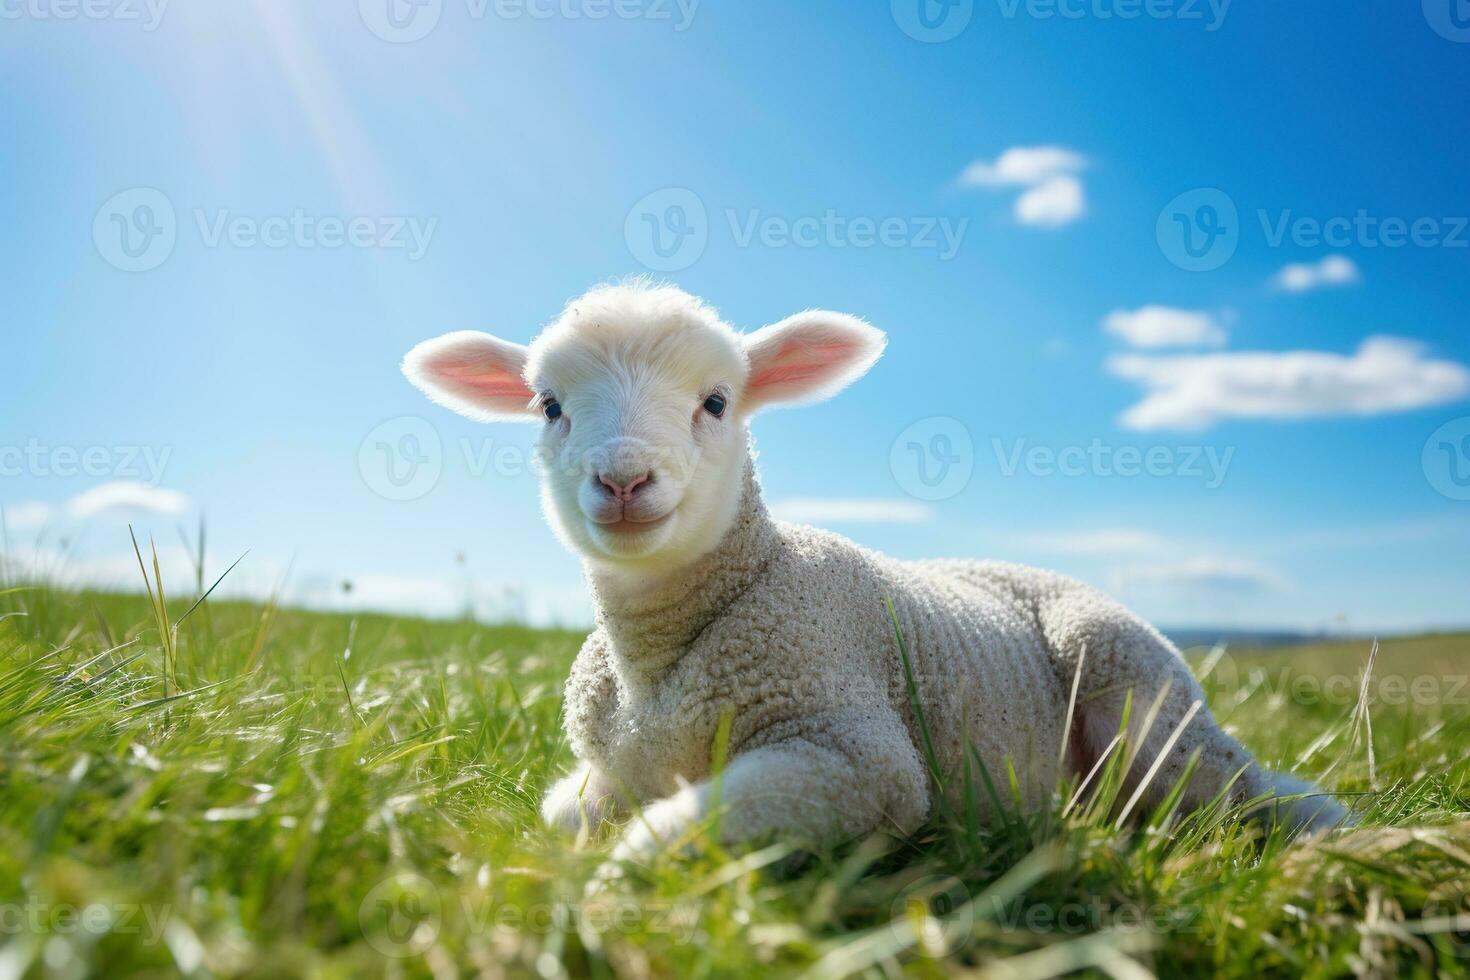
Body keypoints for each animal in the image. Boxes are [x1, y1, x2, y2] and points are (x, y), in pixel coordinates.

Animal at [399, 279, 1346, 863]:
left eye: (717, 402)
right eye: (549, 406)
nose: (625, 480)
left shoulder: (854, 754)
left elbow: (687, 826)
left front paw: (617, 886)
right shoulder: (613, 766)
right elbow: (563, 812)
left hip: (1146, 696)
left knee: (1237, 797)